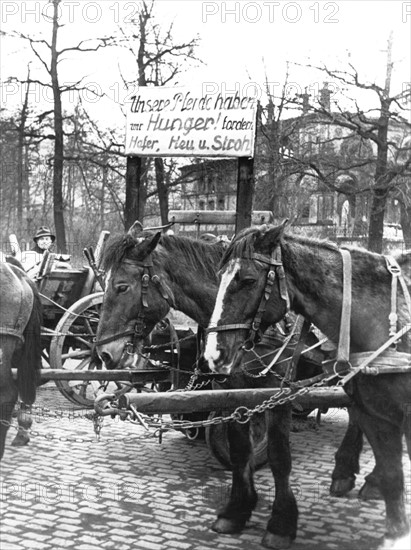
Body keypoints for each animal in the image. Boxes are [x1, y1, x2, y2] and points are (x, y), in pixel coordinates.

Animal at [204, 222, 411, 548]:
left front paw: (279, 524)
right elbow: (393, 475)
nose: (214, 354)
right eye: (219, 277)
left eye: (248, 280)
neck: (381, 320)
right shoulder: (373, 414)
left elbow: (278, 456)